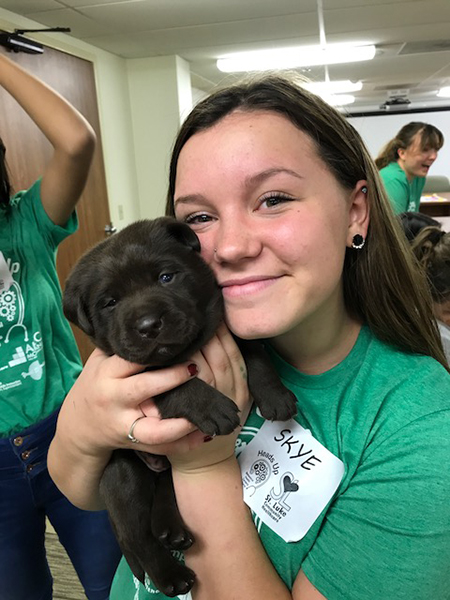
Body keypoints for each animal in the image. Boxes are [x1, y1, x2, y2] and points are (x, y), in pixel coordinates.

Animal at [62, 217, 296, 596]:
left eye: (166, 277)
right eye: (110, 302)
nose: (148, 325)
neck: (186, 350)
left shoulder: (227, 332)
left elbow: (255, 354)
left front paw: (276, 396)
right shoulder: (136, 375)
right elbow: (176, 382)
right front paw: (214, 407)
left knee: (166, 488)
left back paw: (171, 529)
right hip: (125, 473)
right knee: (137, 536)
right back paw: (170, 575)